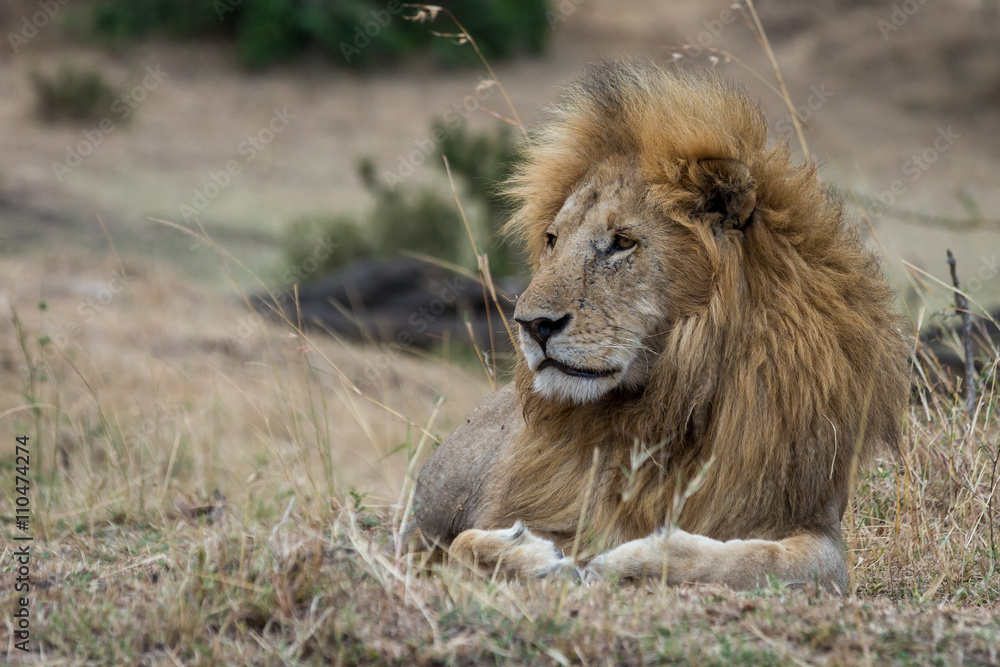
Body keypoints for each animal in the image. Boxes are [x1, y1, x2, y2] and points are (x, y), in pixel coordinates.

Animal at [402, 58, 912, 596]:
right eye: (552, 239)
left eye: (622, 242)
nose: (531, 324)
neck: (669, 401)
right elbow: (464, 549)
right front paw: (537, 558)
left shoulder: (817, 529)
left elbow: (752, 560)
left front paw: (632, 560)